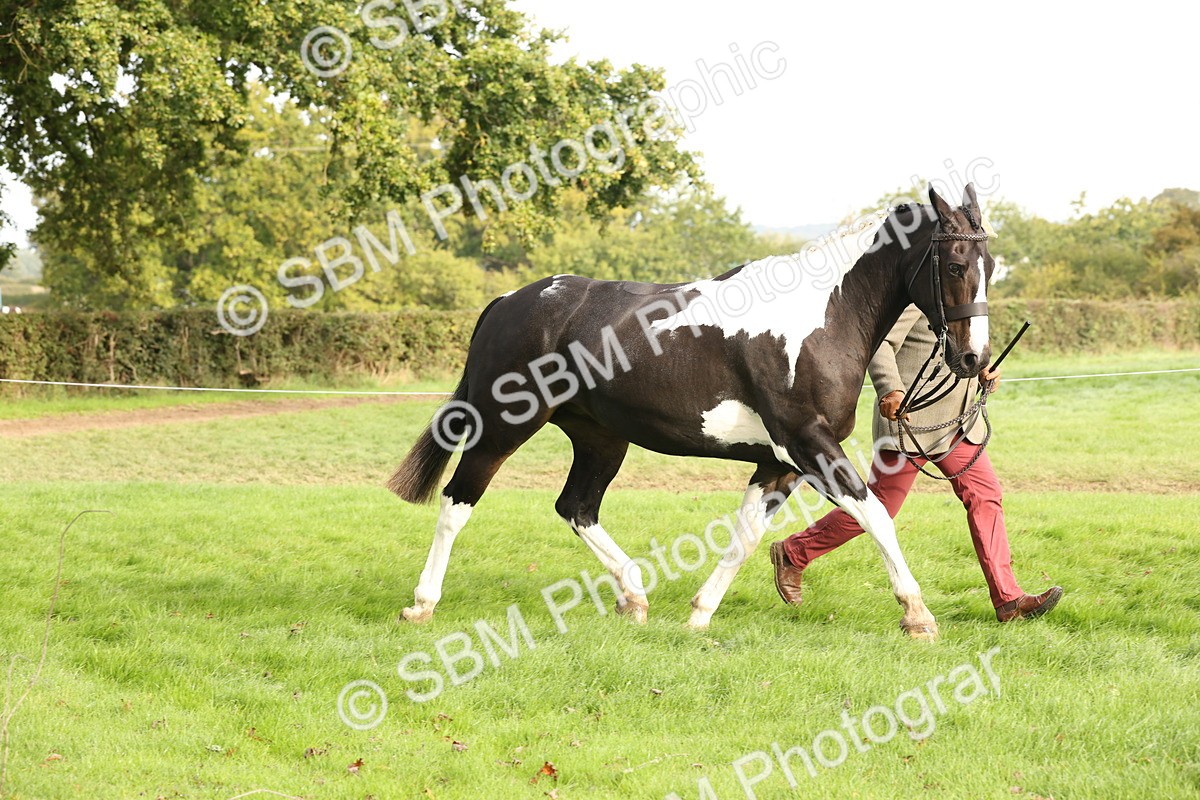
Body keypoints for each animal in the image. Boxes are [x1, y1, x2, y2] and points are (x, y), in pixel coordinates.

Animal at [388, 184, 994, 640]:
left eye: (990, 263)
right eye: (955, 263)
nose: (974, 359)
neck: (822, 317)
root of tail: (508, 302)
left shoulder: (779, 462)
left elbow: (745, 537)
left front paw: (700, 615)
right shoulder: (810, 444)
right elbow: (877, 516)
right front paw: (918, 615)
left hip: (601, 438)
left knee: (576, 507)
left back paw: (634, 597)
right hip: (502, 426)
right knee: (456, 503)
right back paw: (421, 603)